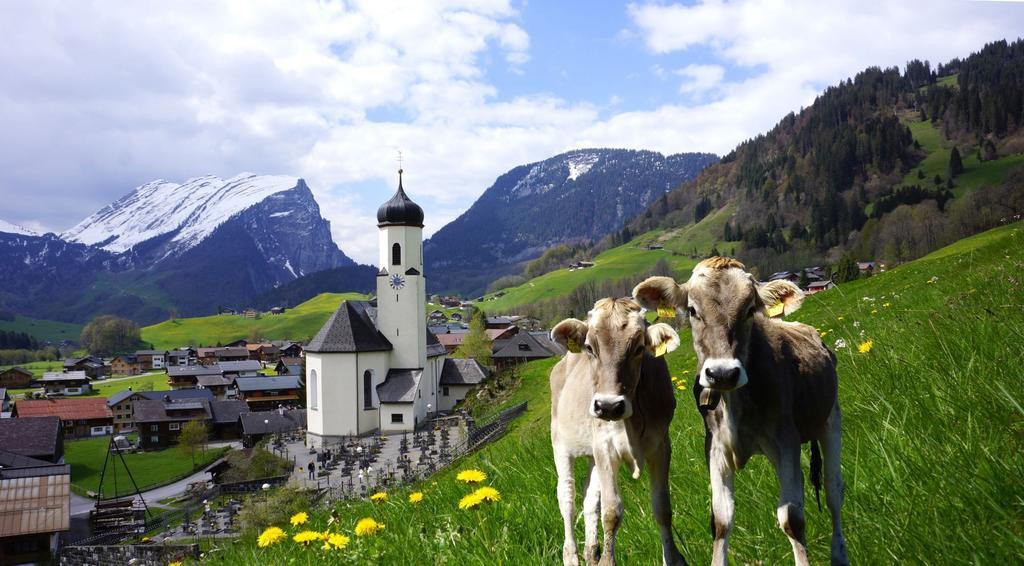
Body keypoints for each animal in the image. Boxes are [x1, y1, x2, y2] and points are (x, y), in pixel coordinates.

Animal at [552, 298, 688, 560]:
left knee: (589, 500)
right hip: (561, 446)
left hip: (592, 455)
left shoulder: (661, 445)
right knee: (567, 499)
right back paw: (571, 555)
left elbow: (662, 508)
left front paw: (674, 558)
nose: (608, 406)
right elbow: (611, 513)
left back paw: (591, 553)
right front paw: (606, 561)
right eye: (589, 347)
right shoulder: (605, 448)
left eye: (639, 348)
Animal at [634, 257, 851, 564]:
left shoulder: (785, 440)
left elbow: (793, 519)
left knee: (834, 492)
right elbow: (721, 521)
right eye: (692, 310)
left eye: (750, 310)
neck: (734, 403)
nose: (722, 373)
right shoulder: (715, 447)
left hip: (831, 420)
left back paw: (839, 553)